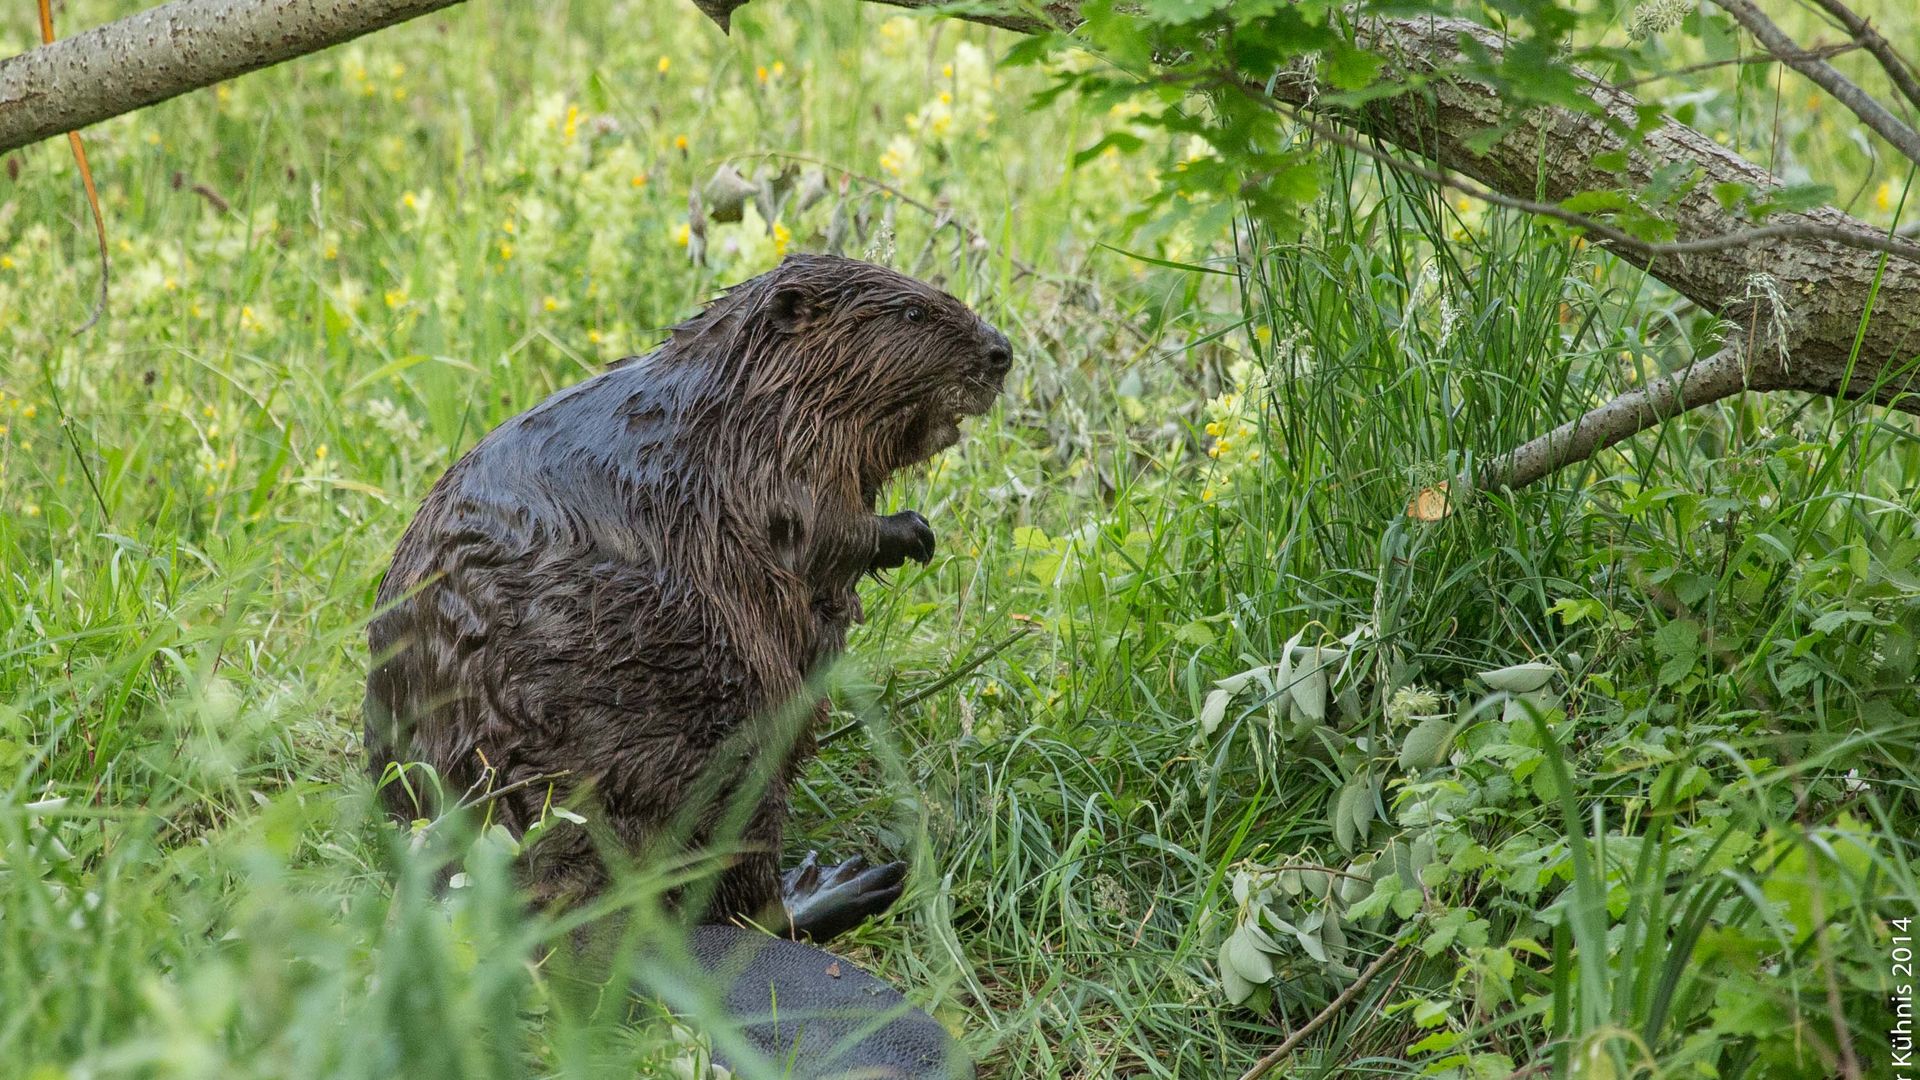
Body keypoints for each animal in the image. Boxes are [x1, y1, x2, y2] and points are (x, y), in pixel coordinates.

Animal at [364, 249, 1013, 941]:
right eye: (914, 312)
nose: (1000, 351)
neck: (736, 391)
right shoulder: (767, 455)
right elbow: (816, 528)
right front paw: (913, 531)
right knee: (734, 890)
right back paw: (834, 886)